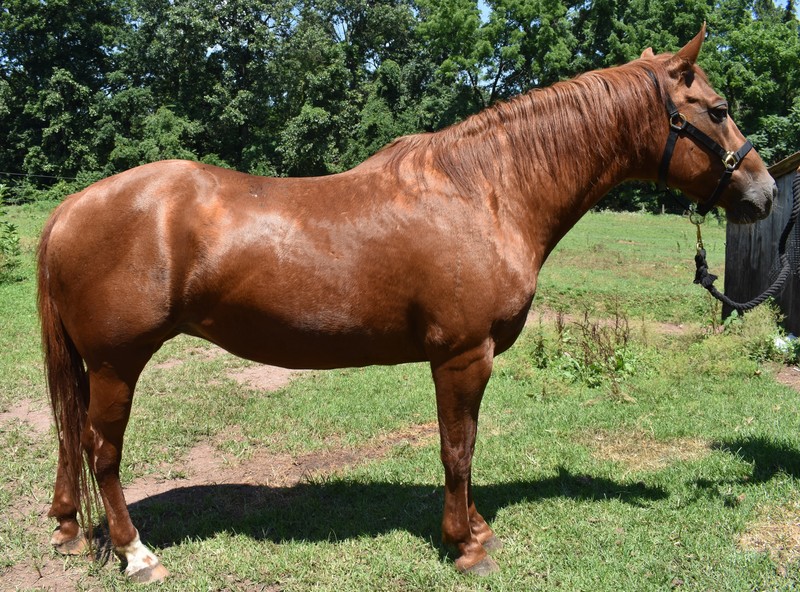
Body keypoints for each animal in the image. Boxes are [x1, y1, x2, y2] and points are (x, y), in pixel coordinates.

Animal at [37, 25, 776, 580]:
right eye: (716, 108)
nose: (765, 193)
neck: (486, 192)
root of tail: (72, 208)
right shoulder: (463, 356)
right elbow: (458, 449)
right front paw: (467, 544)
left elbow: (464, 448)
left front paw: (474, 528)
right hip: (117, 364)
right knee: (102, 450)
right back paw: (136, 554)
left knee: (72, 439)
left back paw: (70, 530)